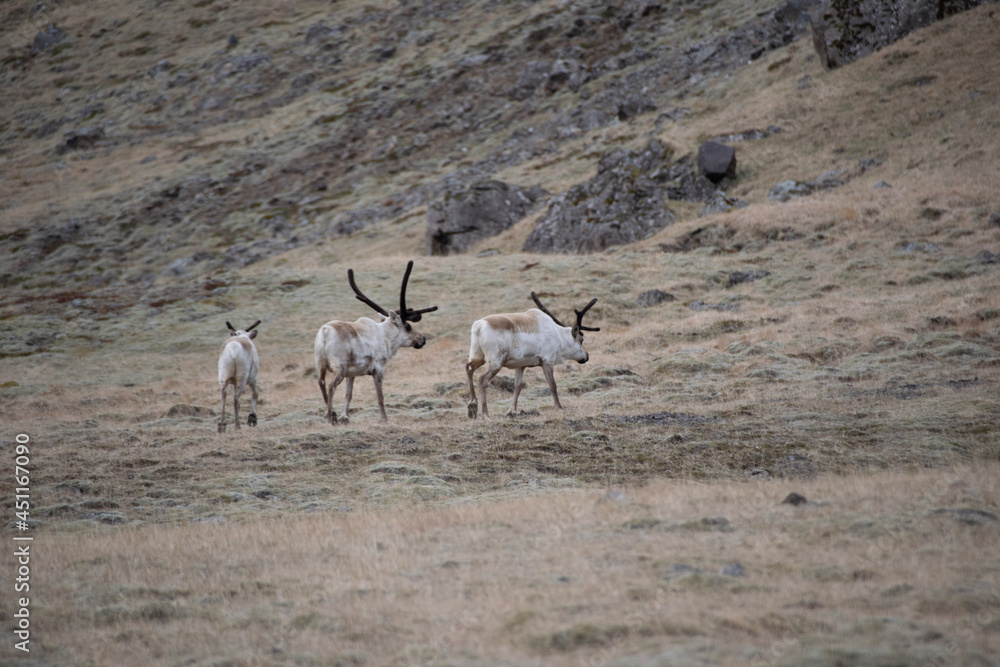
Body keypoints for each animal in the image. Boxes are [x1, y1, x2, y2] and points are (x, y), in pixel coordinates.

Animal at [314, 261, 438, 424]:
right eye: (408, 326)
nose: (422, 339)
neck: (385, 336)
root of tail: (325, 332)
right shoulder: (378, 368)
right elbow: (380, 396)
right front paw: (385, 419)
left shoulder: (351, 373)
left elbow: (349, 394)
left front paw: (344, 416)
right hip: (339, 365)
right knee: (330, 386)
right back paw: (330, 419)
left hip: (320, 363)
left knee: (321, 383)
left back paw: (333, 414)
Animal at [466, 292, 599, 419]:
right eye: (581, 339)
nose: (586, 356)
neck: (558, 336)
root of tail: (478, 326)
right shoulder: (547, 361)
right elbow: (553, 385)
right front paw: (560, 408)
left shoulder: (520, 365)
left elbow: (517, 387)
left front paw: (512, 411)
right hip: (497, 361)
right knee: (482, 379)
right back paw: (485, 414)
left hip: (478, 356)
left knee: (469, 368)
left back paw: (472, 405)